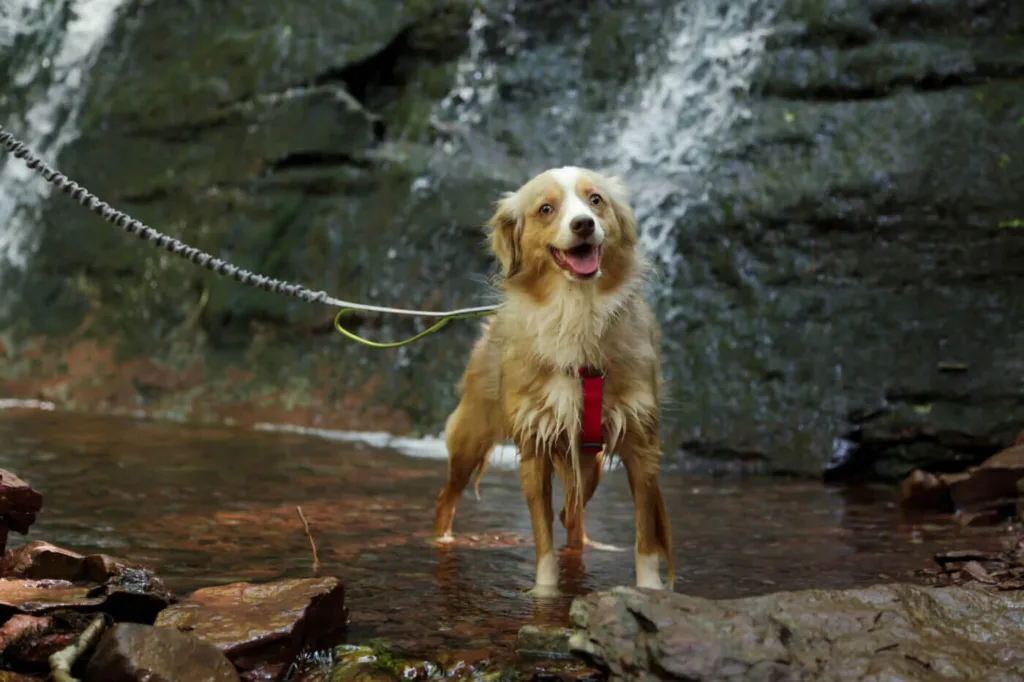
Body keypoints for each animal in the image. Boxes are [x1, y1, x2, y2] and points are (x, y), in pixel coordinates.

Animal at [430, 165, 671, 593]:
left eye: (596, 200)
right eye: (546, 209)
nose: (583, 224)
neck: (577, 312)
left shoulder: (642, 443)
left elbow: (645, 535)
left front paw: (649, 590)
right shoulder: (534, 447)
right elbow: (542, 537)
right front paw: (545, 592)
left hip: (589, 461)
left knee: (574, 509)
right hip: (469, 439)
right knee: (447, 498)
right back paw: (441, 540)